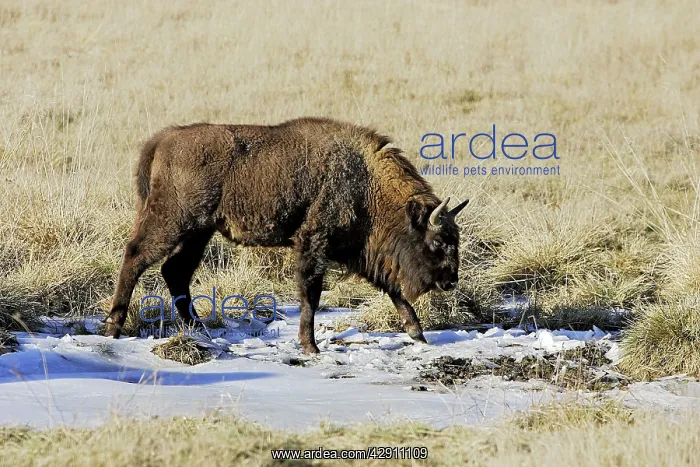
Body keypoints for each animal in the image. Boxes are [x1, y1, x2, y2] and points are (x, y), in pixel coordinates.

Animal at [104, 117, 468, 354]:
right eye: (438, 242)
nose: (451, 281)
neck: (364, 178)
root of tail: (162, 140)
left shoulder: (357, 252)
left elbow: (393, 290)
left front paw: (418, 334)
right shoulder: (314, 244)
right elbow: (311, 294)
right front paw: (310, 347)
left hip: (198, 232)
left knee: (175, 271)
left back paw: (199, 329)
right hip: (173, 222)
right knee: (136, 256)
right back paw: (113, 327)